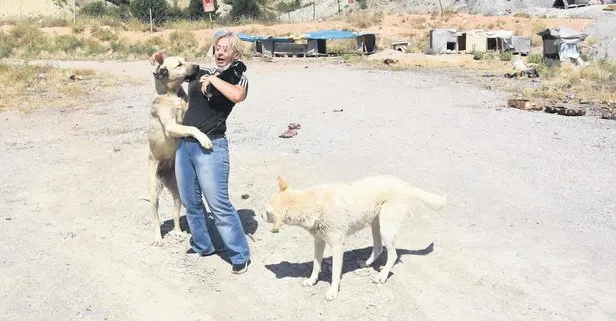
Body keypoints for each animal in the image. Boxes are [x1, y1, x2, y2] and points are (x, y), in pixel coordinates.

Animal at [262, 174, 448, 298]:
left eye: (266, 211)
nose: (261, 215)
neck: (315, 203)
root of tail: (404, 184)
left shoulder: (337, 246)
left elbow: (335, 273)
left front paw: (332, 291)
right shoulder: (319, 242)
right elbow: (316, 265)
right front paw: (312, 281)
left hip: (386, 227)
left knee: (393, 254)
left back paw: (382, 276)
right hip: (375, 224)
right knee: (379, 248)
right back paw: (367, 263)